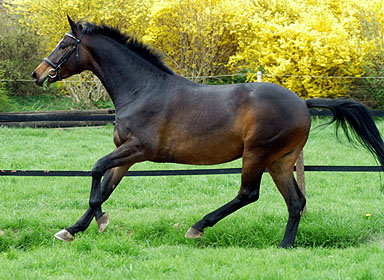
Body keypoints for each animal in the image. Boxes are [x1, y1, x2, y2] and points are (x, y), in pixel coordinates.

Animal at [32, 15, 384, 247]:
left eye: (64, 44)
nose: (38, 73)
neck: (142, 90)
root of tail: (302, 102)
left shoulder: (138, 149)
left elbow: (95, 172)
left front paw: (101, 220)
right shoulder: (127, 155)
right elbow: (105, 186)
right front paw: (71, 230)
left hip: (257, 154)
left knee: (248, 194)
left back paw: (199, 226)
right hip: (280, 161)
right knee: (296, 202)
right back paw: (285, 246)